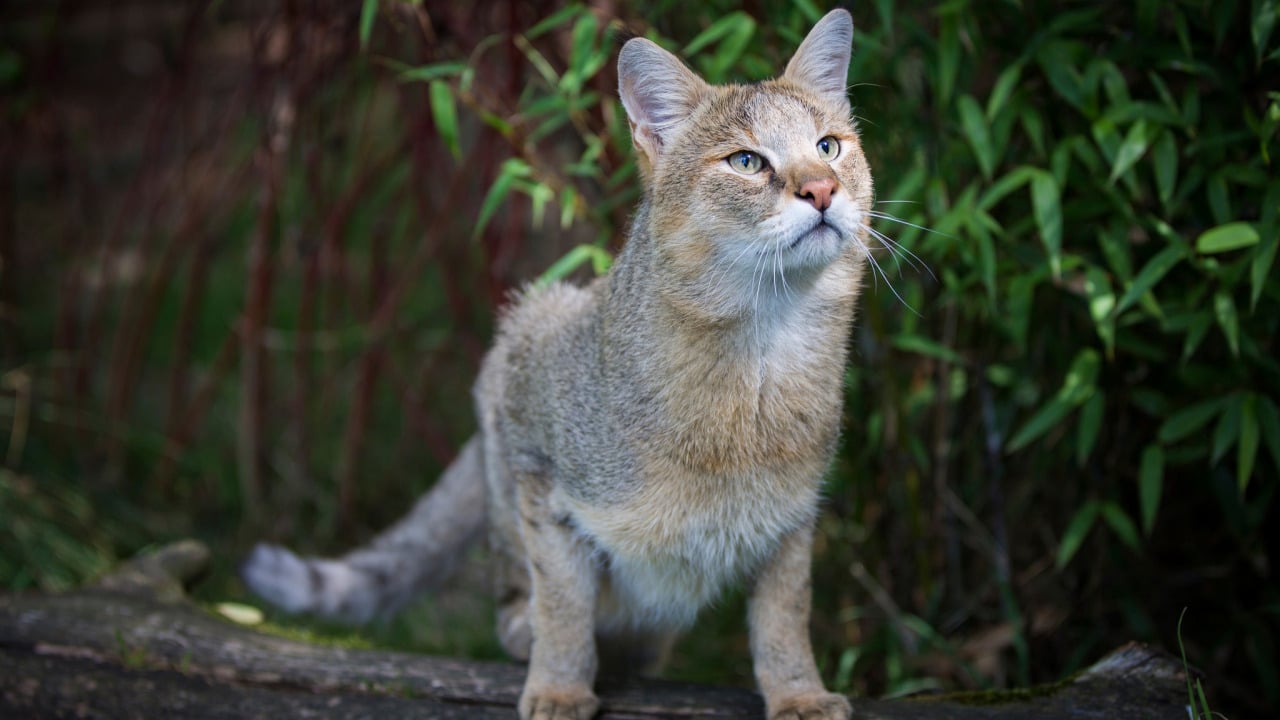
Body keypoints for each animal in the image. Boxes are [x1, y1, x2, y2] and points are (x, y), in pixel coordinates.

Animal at [241, 9, 870, 717]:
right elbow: (563, 600)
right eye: (746, 161)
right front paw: (559, 684)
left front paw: (799, 693)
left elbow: (785, 615)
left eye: (829, 146)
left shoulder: (792, 519)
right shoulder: (536, 449)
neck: (759, 359)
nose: (822, 189)